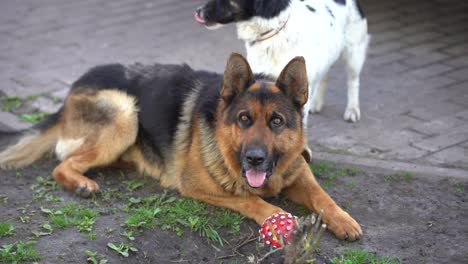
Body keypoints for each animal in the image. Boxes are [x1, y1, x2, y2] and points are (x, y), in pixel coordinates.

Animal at [0, 54, 362, 241]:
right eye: (244, 118)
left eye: (276, 121)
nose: (255, 159)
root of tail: (70, 92)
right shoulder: (198, 185)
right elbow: (250, 199)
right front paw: (276, 216)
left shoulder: (298, 171)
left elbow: (322, 196)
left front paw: (343, 219)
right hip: (125, 112)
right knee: (62, 163)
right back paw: (81, 183)